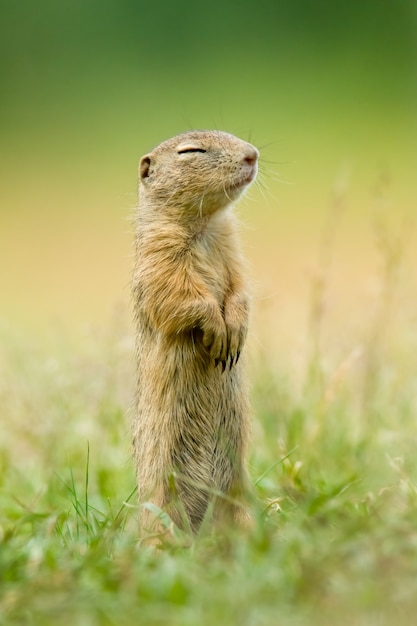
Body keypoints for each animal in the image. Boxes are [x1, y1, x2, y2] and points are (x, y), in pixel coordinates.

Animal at [132, 128, 256, 536]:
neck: (205, 225)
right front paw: (217, 330)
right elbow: (181, 297)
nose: (252, 154)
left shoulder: (233, 251)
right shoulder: (159, 259)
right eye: (192, 151)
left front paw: (235, 329)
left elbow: (240, 290)